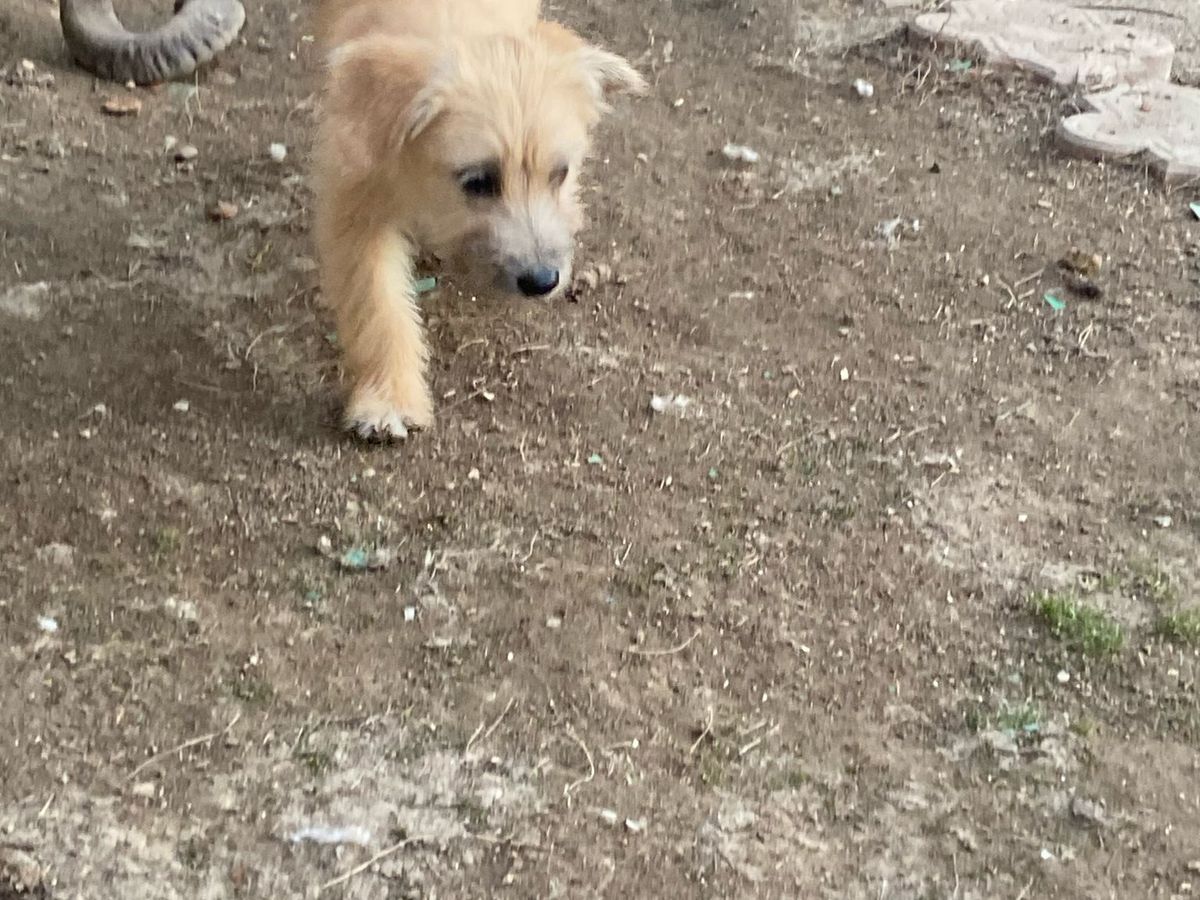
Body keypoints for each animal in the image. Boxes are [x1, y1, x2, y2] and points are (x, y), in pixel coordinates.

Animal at [313, 0, 646, 440]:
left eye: (560, 174)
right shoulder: (357, 195)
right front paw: (388, 401)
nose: (542, 281)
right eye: (479, 182)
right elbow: (376, 301)